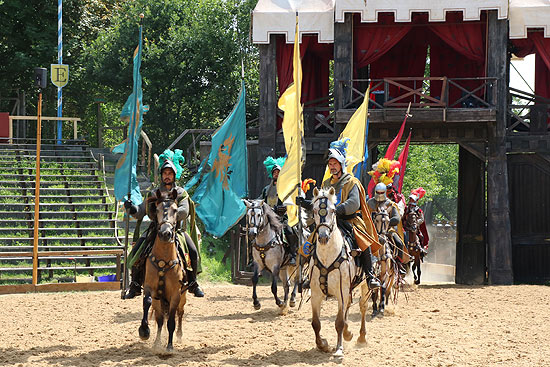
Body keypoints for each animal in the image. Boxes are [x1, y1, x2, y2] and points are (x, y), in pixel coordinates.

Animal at [139, 190, 189, 354]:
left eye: (175, 210)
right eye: (157, 209)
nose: (165, 233)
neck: (164, 259)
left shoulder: (175, 294)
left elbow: (172, 320)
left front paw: (170, 346)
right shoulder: (150, 289)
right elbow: (148, 304)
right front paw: (144, 331)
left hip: (183, 296)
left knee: (180, 313)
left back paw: (179, 335)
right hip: (159, 300)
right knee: (160, 319)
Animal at [310, 188, 370, 358]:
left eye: (332, 210)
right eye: (314, 210)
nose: (323, 237)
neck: (327, 256)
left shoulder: (341, 292)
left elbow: (339, 322)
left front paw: (338, 349)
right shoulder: (316, 294)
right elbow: (316, 323)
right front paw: (322, 344)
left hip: (365, 285)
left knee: (363, 306)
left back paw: (361, 337)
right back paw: (348, 333)